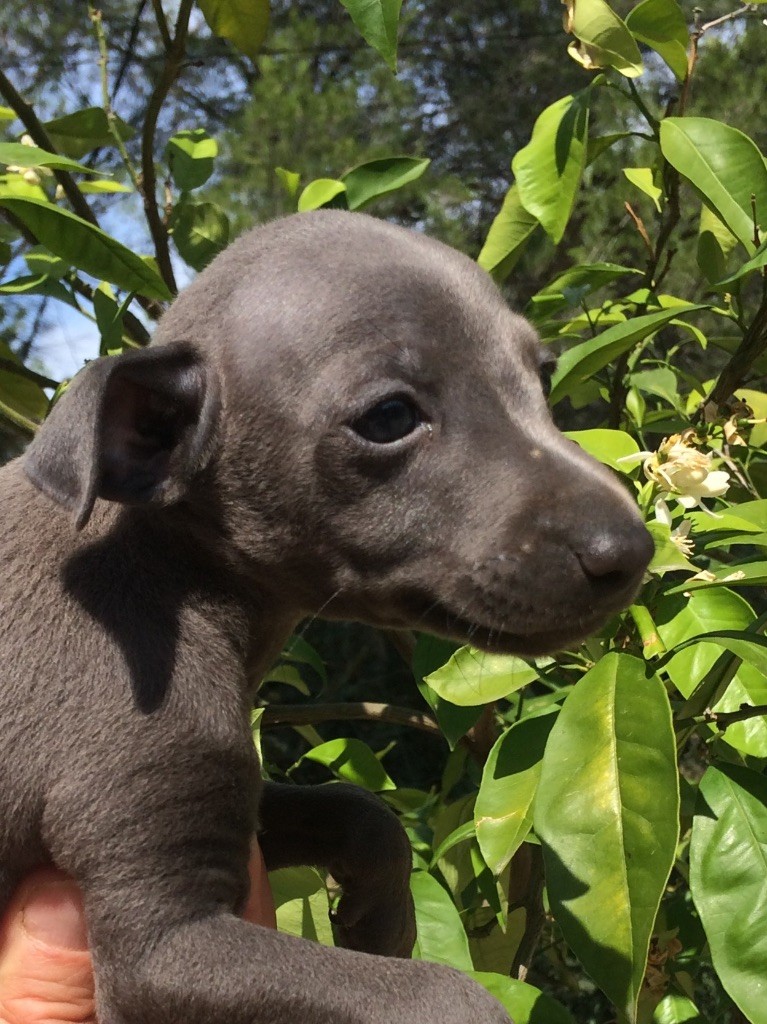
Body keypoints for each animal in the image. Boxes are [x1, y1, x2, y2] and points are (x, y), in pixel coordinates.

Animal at [1, 209, 651, 1024]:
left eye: (540, 376)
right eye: (389, 417)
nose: (630, 551)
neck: (161, 567)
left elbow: (360, 810)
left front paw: (382, 921)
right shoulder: (160, 945)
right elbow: (444, 995)